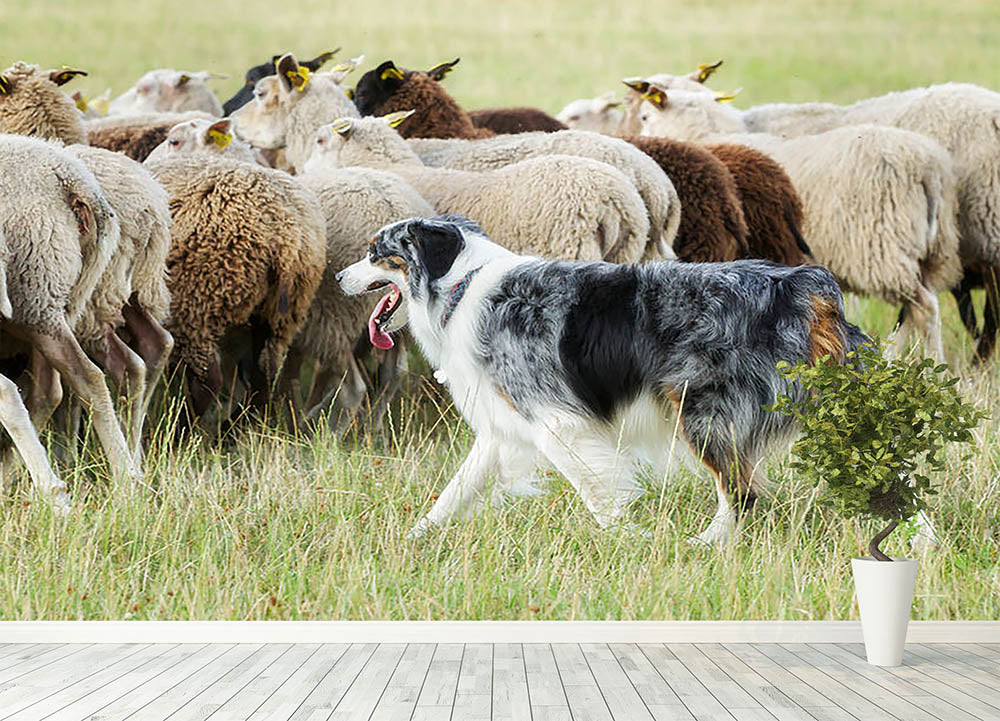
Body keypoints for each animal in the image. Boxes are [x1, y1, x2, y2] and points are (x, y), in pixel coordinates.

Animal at [145, 153, 325, 423]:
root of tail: (286, 235)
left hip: (198, 301)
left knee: (208, 380)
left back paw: (186, 427)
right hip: (283, 313)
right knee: (265, 375)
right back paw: (237, 426)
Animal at [635, 87, 962, 361]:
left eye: (645, 115)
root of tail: (930, 169)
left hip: (881, 248)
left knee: (926, 307)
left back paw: (934, 364)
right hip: (929, 253)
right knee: (913, 310)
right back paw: (893, 359)